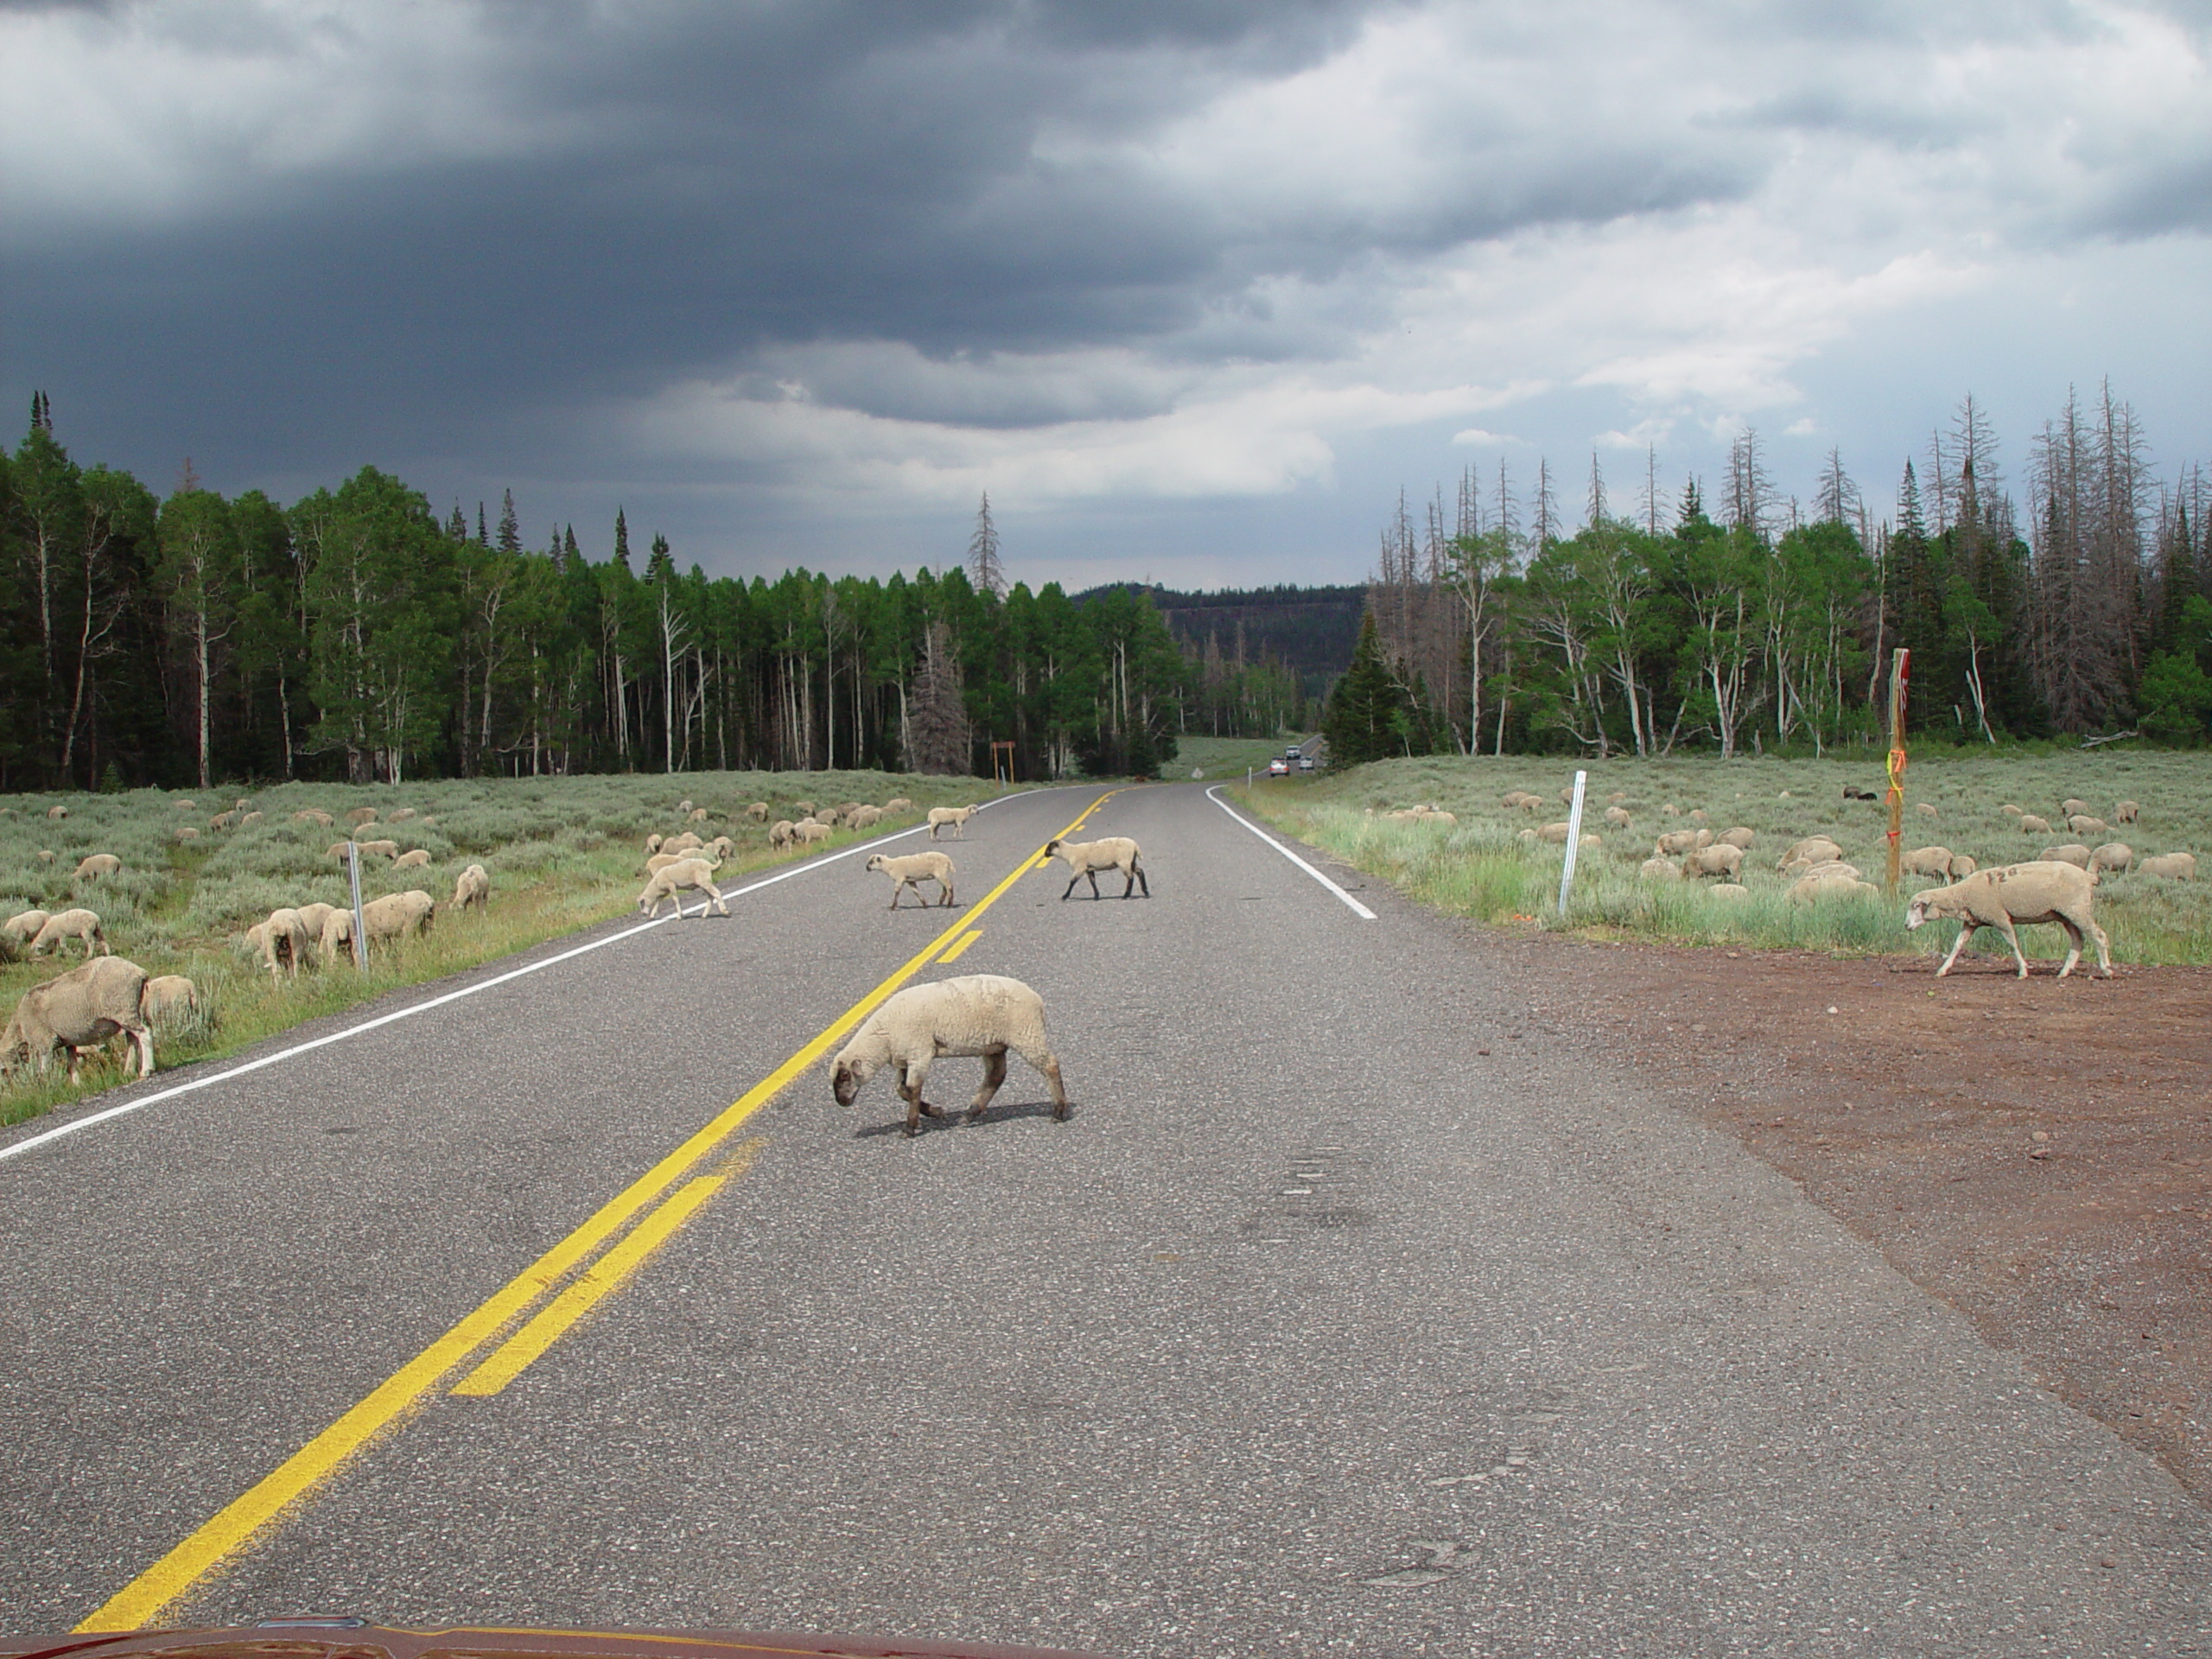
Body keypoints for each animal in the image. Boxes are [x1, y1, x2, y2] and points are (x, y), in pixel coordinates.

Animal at [1, 955, 152, 1084]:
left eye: (2, 1070)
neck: (20, 1026)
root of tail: (139, 972)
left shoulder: (44, 1042)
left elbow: (45, 1070)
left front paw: (47, 1087)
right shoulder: (69, 1042)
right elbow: (72, 1064)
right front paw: (76, 1084)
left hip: (123, 1009)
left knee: (145, 1033)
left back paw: (146, 1070)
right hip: (130, 1011)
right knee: (132, 1039)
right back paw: (128, 1071)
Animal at [831, 973, 1071, 1141]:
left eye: (845, 1075)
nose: (841, 1102)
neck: (884, 1037)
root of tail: (1036, 998)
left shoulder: (920, 1053)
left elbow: (913, 1089)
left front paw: (910, 1127)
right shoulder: (904, 1057)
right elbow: (901, 1089)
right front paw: (935, 1112)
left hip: (1026, 1032)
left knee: (1050, 1065)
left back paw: (1058, 1111)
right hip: (994, 1044)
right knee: (996, 1075)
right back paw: (970, 1115)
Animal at [1039, 836, 1150, 902]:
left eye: (1049, 847)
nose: (1045, 855)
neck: (1069, 852)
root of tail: (1135, 846)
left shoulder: (1080, 868)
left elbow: (1072, 881)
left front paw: (1065, 896)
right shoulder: (1089, 869)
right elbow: (1092, 882)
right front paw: (1096, 896)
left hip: (1124, 861)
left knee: (1130, 877)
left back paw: (1126, 895)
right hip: (1130, 861)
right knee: (1140, 872)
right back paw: (1146, 893)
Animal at [1902, 862, 2106, 982]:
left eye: (1916, 906)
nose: (1905, 925)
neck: (1963, 894)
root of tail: (2088, 876)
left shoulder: (1999, 917)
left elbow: (2012, 944)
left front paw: (2023, 971)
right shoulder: (1972, 922)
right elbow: (1957, 945)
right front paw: (1943, 969)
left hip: (2077, 908)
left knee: (2099, 935)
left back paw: (2106, 970)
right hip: (2065, 914)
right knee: (2078, 940)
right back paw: (2064, 972)